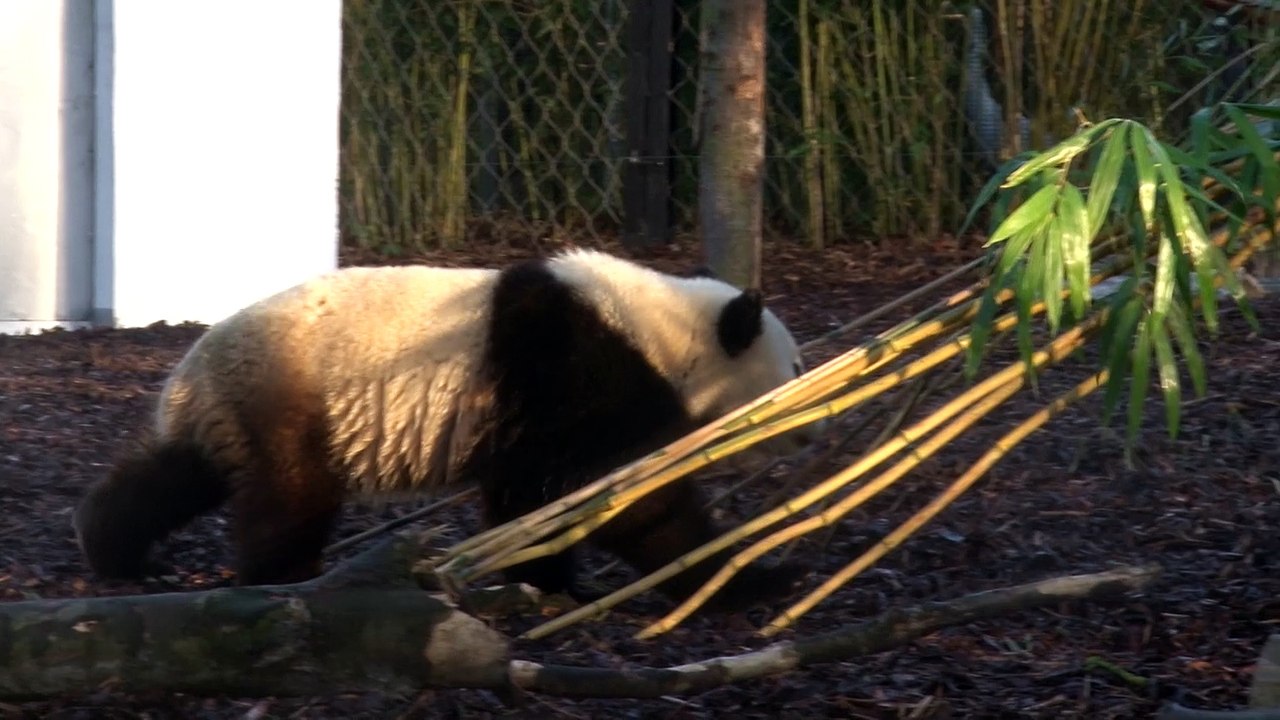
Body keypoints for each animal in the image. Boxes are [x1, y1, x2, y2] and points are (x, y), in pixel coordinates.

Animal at [73, 250, 812, 609]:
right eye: (798, 364)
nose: (807, 431)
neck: (668, 331)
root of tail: (189, 373)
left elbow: (533, 495)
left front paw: (542, 583)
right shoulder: (581, 367)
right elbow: (623, 498)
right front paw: (748, 578)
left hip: (228, 412)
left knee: (176, 474)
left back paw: (118, 551)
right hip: (288, 399)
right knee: (290, 496)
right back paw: (284, 576)